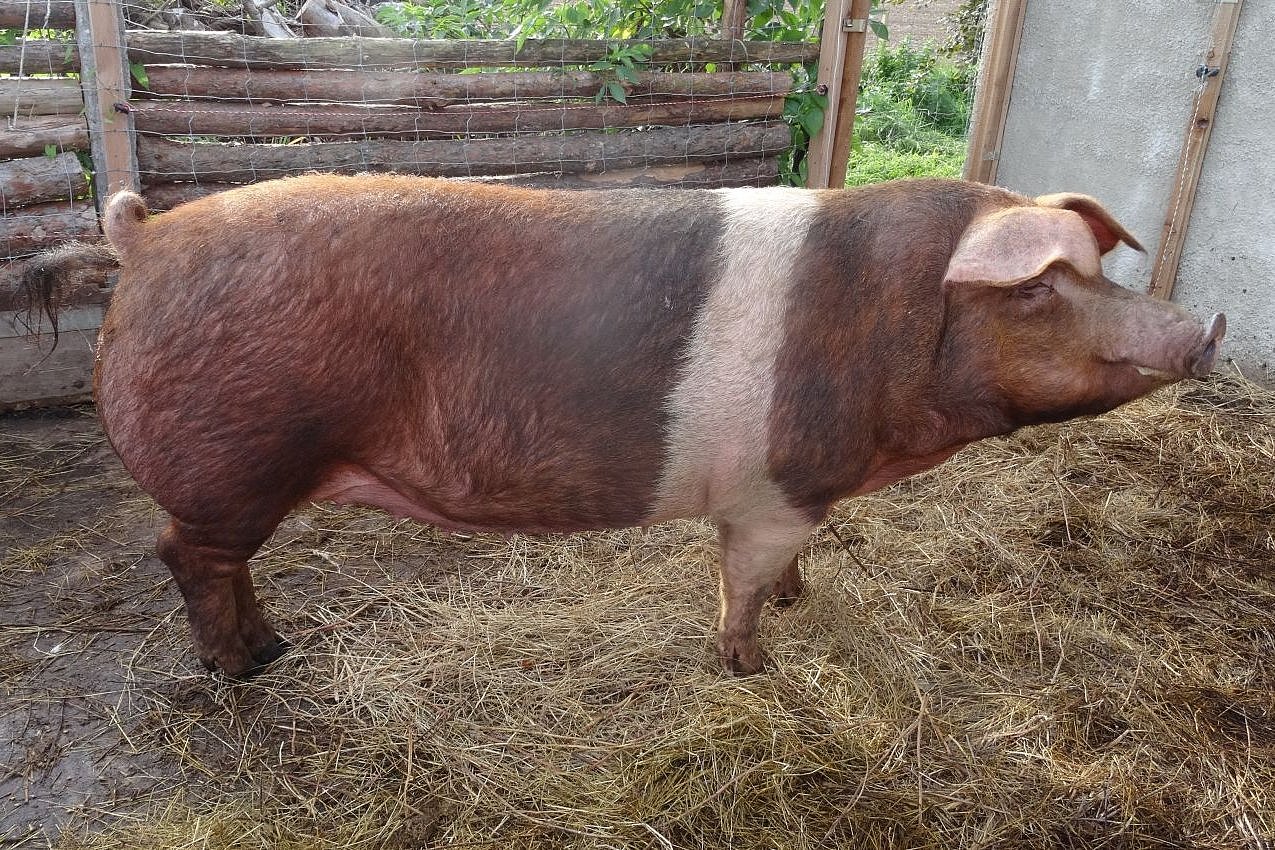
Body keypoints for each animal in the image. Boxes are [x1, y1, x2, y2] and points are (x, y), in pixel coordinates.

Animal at [27, 175, 1224, 683]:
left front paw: (805, 602)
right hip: (231, 466)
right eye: (1043, 285)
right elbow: (740, 586)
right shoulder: (774, 491)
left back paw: (271, 649)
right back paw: (251, 668)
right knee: (184, 556)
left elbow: (787, 571)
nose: (1205, 325)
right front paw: (751, 668)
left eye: (1101, 265)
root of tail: (147, 238)